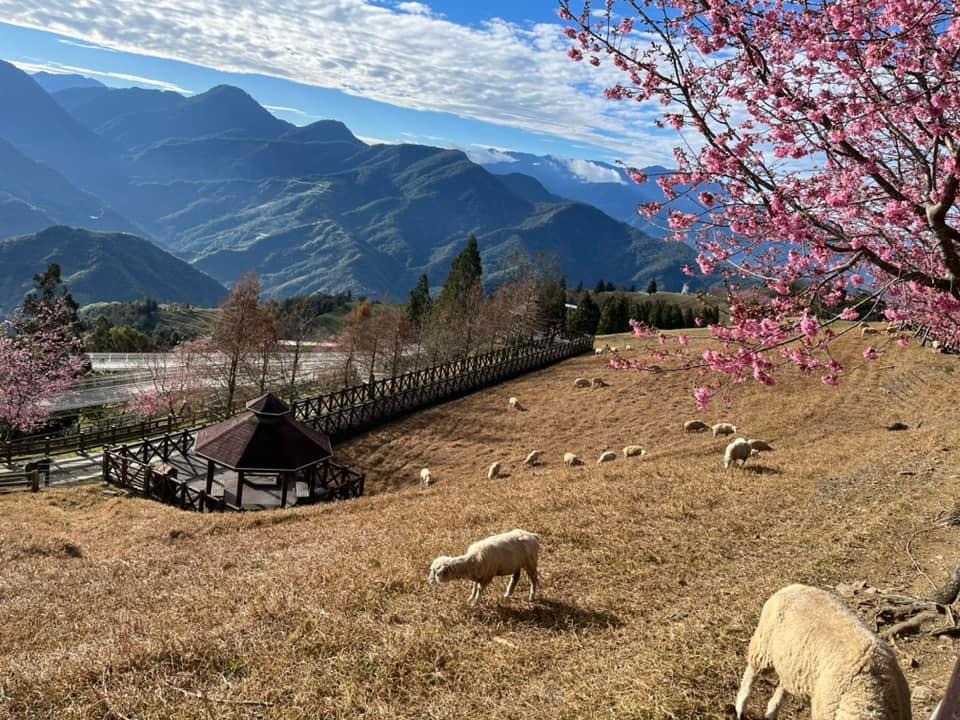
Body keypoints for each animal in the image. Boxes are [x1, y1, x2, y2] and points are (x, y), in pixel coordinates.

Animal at [736, 584, 908, 720]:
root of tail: (794, 586)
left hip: (791, 662)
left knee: (784, 684)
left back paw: (771, 713)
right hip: (763, 645)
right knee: (752, 672)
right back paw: (740, 707)